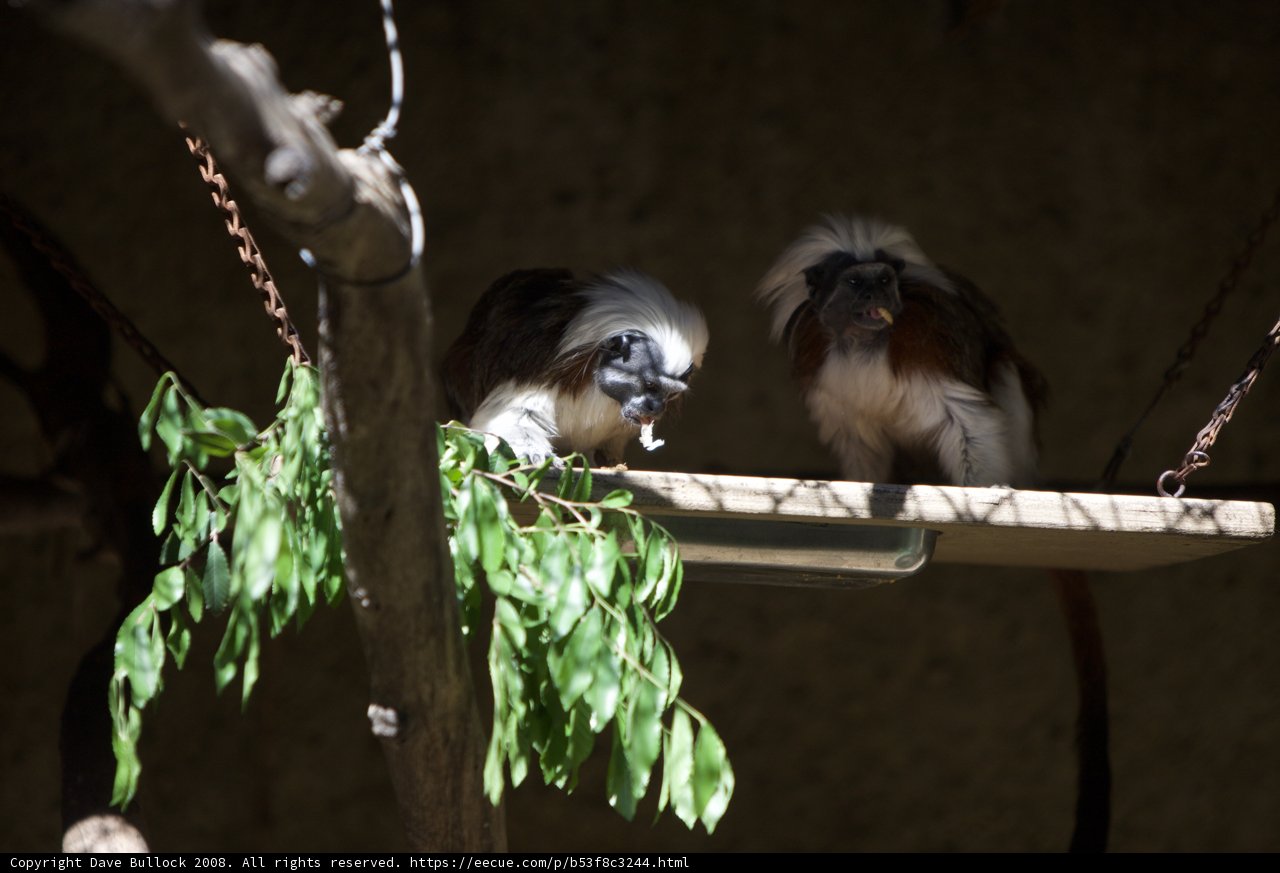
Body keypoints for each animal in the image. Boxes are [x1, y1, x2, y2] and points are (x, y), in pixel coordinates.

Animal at [442, 268, 708, 466]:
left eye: (670, 394)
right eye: (650, 385)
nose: (656, 407)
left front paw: (609, 463)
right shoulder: (537, 366)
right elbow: (513, 414)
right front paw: (533, 454)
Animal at [756, 215, 1109, 852]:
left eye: (884, 282)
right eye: (857, 284)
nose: (880, 297)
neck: (864, 344)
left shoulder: (924, 343)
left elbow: (966, 419)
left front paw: (979, 494)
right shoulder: (822, 366)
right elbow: (859, 441)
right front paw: (858, 489)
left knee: (1003, 371)